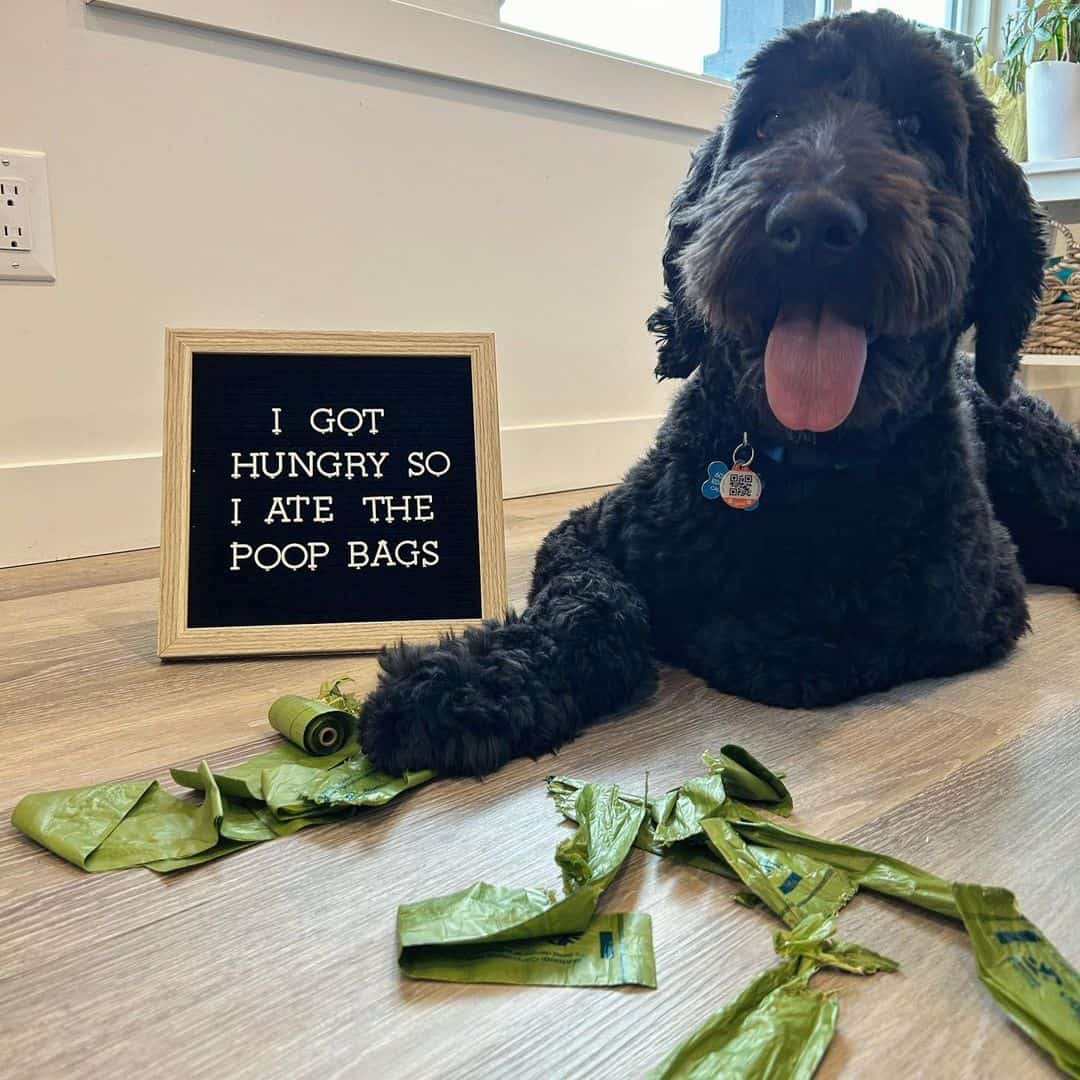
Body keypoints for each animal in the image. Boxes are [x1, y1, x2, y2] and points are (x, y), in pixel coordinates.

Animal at [365, 10, 1080, 777]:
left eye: (915, 124)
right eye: (767, 120)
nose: (811, 223)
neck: (796, 465)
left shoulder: (968, 601)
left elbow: (782, 643)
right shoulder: (586, 535)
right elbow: (597, 608)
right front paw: (460, 689)